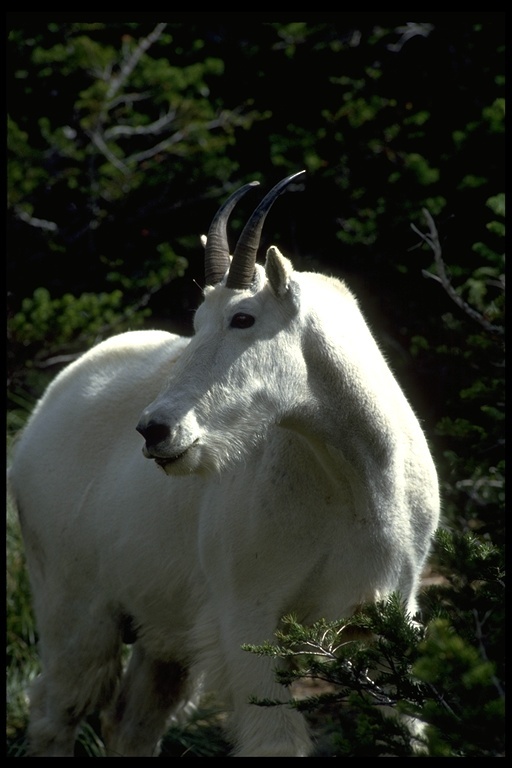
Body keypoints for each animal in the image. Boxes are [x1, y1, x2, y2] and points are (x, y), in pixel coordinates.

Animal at [8, 170, 440, 756]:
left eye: (242, 317)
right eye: (197, 321)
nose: (155, 430)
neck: (357, 477)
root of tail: (41, 416)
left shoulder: (391, 614)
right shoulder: (248, 619)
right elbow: (276, 740)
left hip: (161, 629)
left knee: (131, 723)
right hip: (72, 606)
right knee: (56, 710)